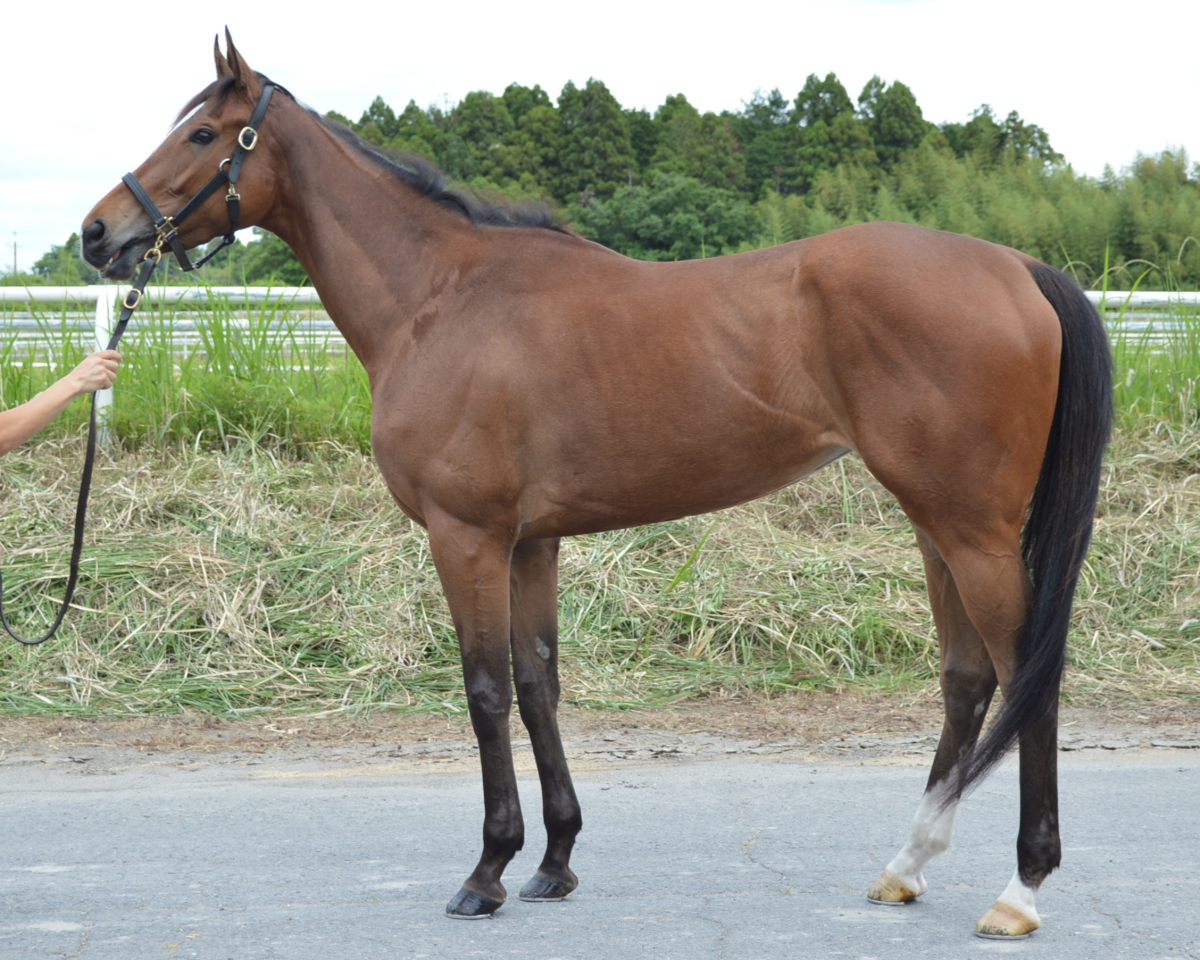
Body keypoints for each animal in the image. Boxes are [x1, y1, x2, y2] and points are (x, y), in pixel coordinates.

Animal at [80, 32, 1111, 938]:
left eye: (202, 135)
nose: (98, 233)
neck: (440, 299)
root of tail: (1018, 266)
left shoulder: (467, 536)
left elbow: (486, 689)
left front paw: (487, 871)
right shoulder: (531, 542)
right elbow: (539, 682)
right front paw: (554, 861)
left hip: (971, 528)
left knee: (1028, 674)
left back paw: (1019, 891)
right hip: (938, 523)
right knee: (969, 678)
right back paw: (907, 863)